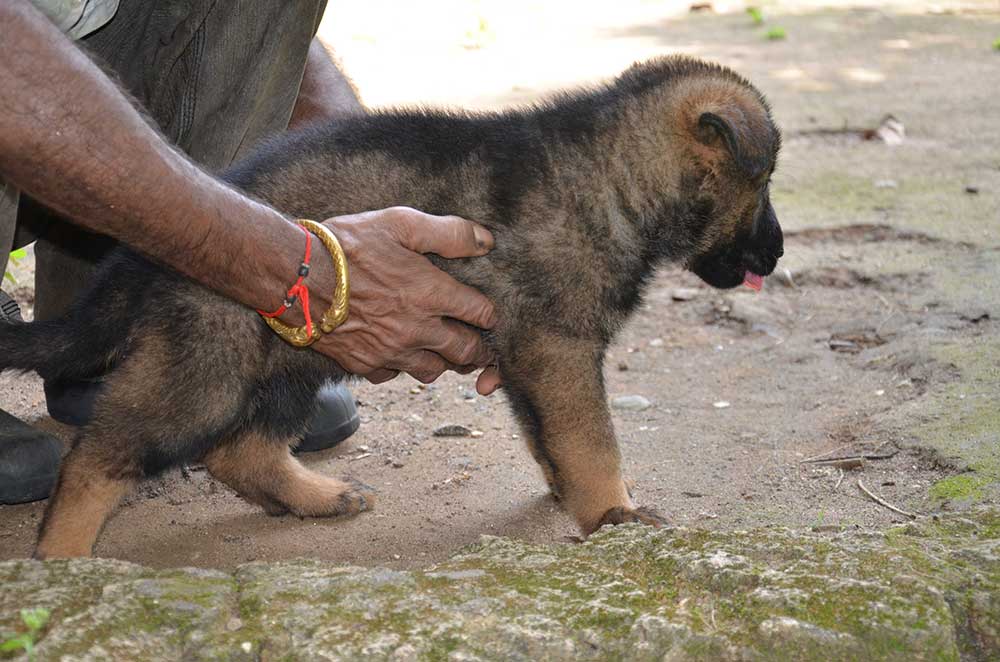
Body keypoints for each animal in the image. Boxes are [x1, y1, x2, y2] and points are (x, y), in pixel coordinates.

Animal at [0, 55, 780, 560]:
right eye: (764, 181)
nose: (776, 256)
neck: (611, 173)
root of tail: (139, 261)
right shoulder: (558, 346)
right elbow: (592, 442)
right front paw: (614, 514)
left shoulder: (529, 356)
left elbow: (553, 438)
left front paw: (577, 498)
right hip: (207, 366)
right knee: (99, 457)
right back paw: (63, 563)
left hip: (292, 354)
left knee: (238, 449)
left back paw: (314, 497)